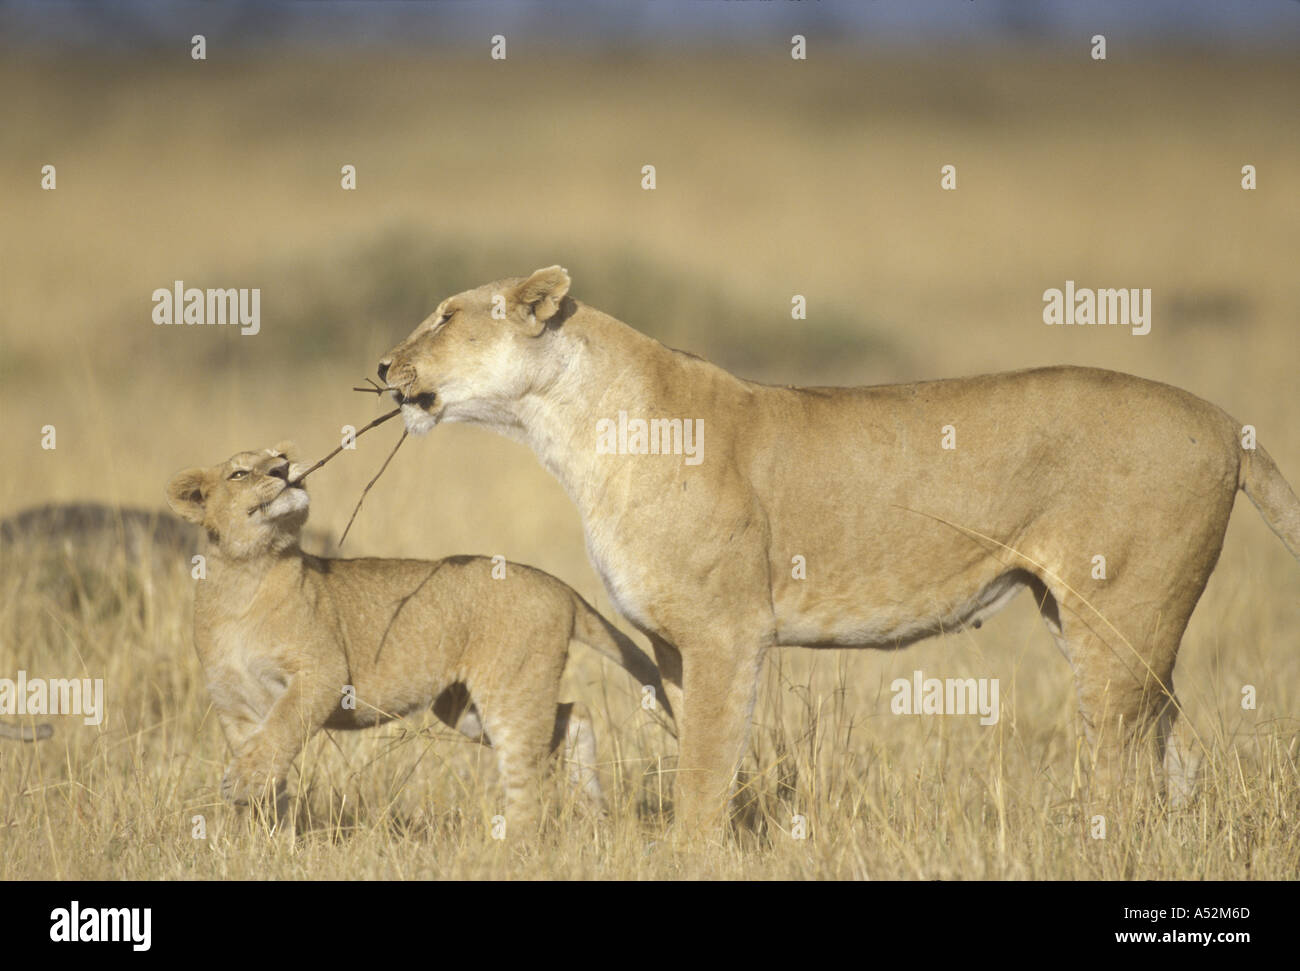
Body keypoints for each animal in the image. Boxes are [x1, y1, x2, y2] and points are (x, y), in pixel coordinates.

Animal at [164, 444, 671, 829]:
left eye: (280, 455)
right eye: (240, 473)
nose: (284, 470)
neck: (245, 575)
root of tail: (558, 585)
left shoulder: (323, 673)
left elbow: (282, 729)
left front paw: (243, 785)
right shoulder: (233, 703)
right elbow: (266, 753)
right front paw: (267, 832)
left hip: (509, 689)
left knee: (525, 769)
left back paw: (516, 844)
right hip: (465, 706)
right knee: (571, 716)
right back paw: (594, 810)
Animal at [377, 265, 1300, 834]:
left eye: (447, 316)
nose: (384, 366)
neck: (568, 424)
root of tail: (1226, 420)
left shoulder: (727, 631)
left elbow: (703, 771)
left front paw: (691, 852)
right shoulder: (675, 642)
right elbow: (696, 749)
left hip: (1120, 614)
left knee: (1123, 759)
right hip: (1103, 621)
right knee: (1174, 748)